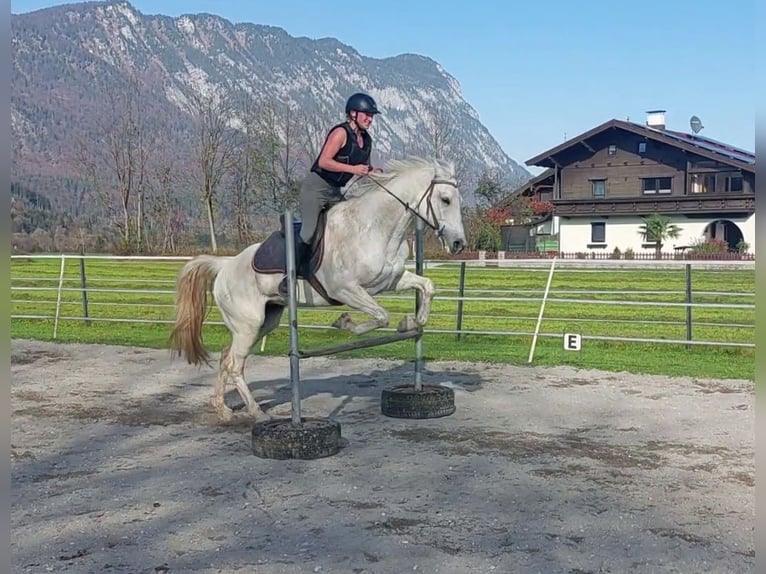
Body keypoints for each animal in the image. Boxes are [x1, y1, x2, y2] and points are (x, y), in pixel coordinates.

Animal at [169, 158, 468, 424]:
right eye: (445, 200)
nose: (458, 244)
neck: (375, 228)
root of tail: (225, 265)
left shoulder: (389, 281)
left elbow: (426, 287)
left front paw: (413, 321)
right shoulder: (345, 290)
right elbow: (380, 316)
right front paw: (345, 322)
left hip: (265, 321)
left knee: (226, 357)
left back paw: (223, 410)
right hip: (248, 324)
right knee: (234, 364)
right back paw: (256, 413)